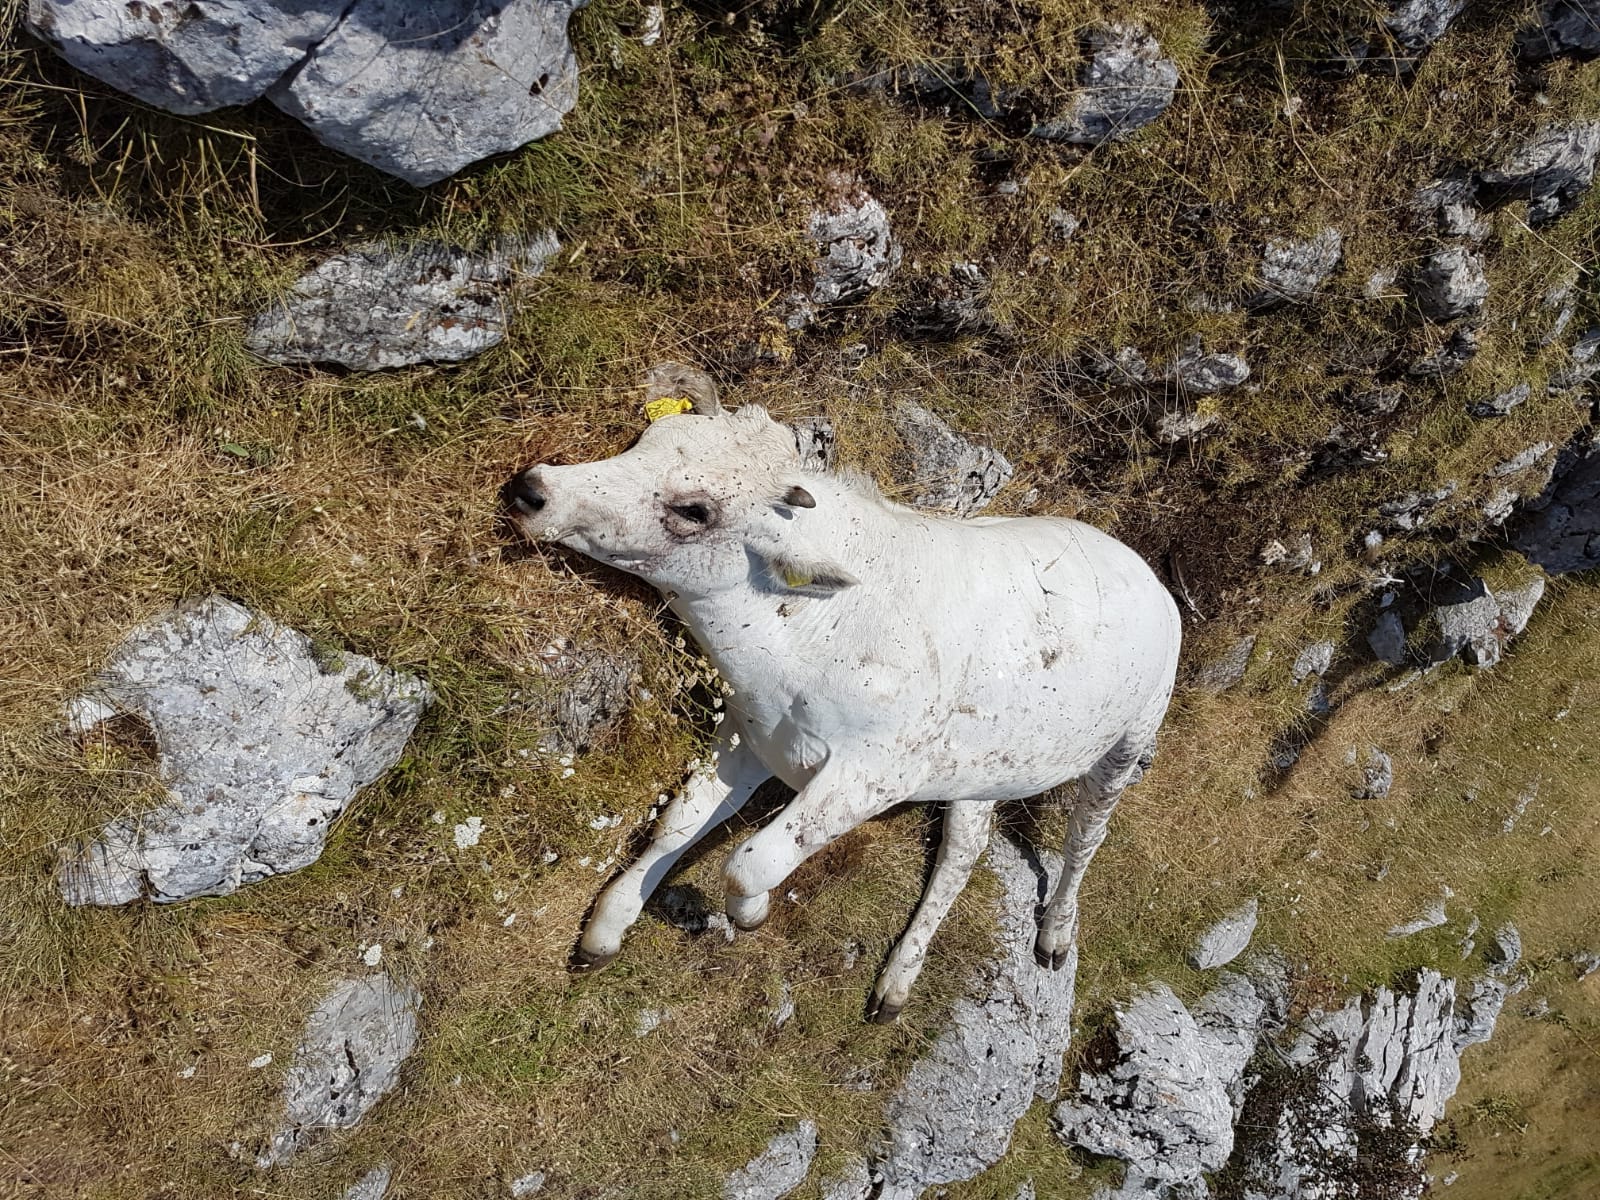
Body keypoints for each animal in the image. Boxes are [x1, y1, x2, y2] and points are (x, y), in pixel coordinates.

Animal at [505, 369, 1184, 1024]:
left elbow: (749, 860)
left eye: (694, 510)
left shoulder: (876, 775)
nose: (533, 487)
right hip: (986, 762)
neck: (802, 632)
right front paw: (608, 924)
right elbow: (677, 823)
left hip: (1130, 739)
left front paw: (749, 913)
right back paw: (898, 983)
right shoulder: (748, 737)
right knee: (963, 851)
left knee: (1084, 839)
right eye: (646, 439)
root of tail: (1145, 571)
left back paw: (1055, 933)